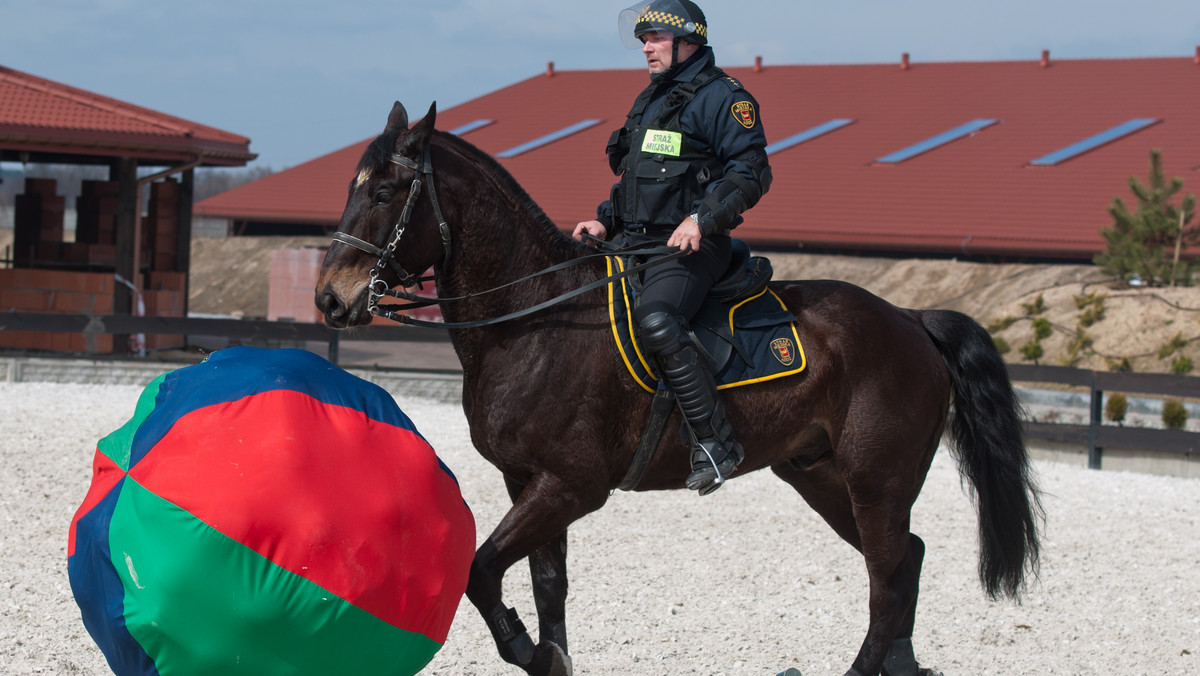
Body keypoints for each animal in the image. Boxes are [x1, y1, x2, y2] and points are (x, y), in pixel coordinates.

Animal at [316, 102, 1041, 676]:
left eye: (385, 192)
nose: (330, 298)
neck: (532, 318)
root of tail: (911, 321)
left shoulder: (571, 486)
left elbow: (482, 571)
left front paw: (531, 650)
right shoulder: (528, 483)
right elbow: (548, 586)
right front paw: (550, 656)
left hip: (876, 482)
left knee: (888, 581)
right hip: (820, 476)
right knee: (905, 561)